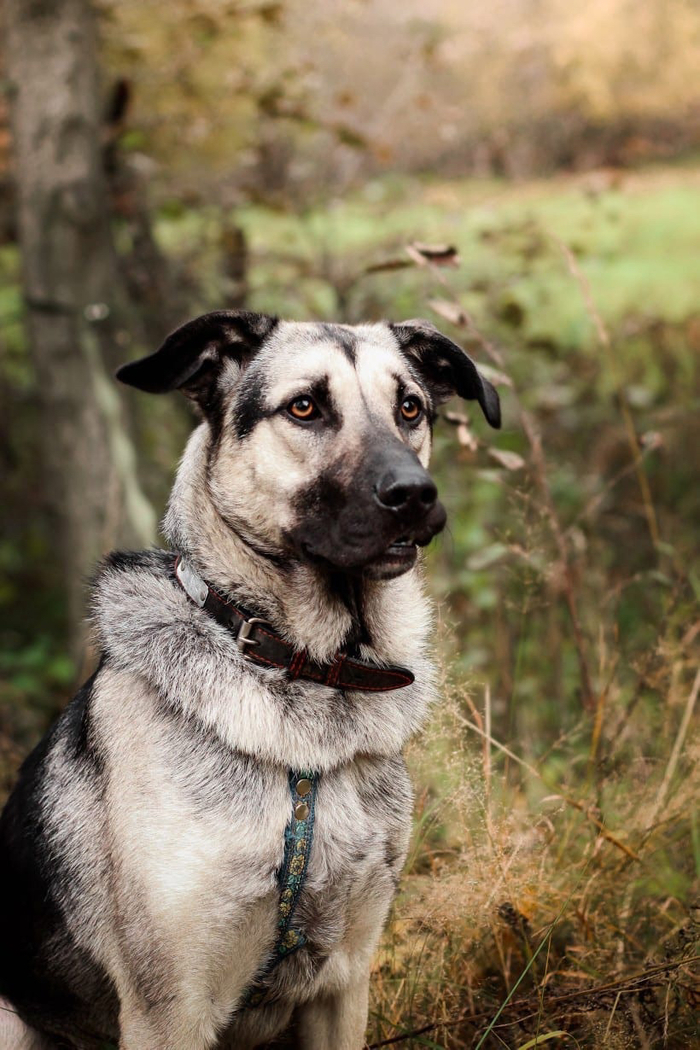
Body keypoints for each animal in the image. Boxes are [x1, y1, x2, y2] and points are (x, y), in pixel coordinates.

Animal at [2, 312, 501, 1050]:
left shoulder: (343, 983)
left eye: (409, 407)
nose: (415, 496)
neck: (308, 668)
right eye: (305, 407)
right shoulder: (171, 1010)